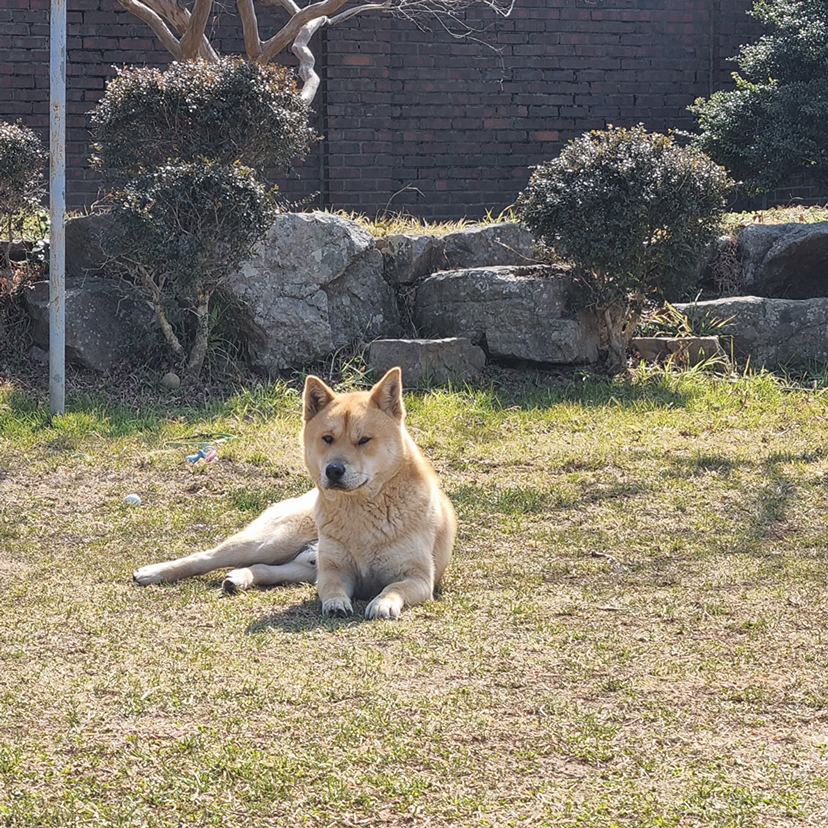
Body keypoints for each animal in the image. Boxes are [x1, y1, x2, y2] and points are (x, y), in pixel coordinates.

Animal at [137, 368, 460, 620]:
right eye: (327, 439)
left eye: (364, 440)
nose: (333, 470)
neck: (360, 513)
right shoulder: (334, 571)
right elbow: (332, 588)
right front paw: (336, 603)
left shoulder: (419, 578)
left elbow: (393, 587)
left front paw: (382, 603)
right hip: (269, 542)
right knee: (206, 557)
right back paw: (153, 572)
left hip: (298, 566)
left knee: (263, 569)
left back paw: (239, 578)